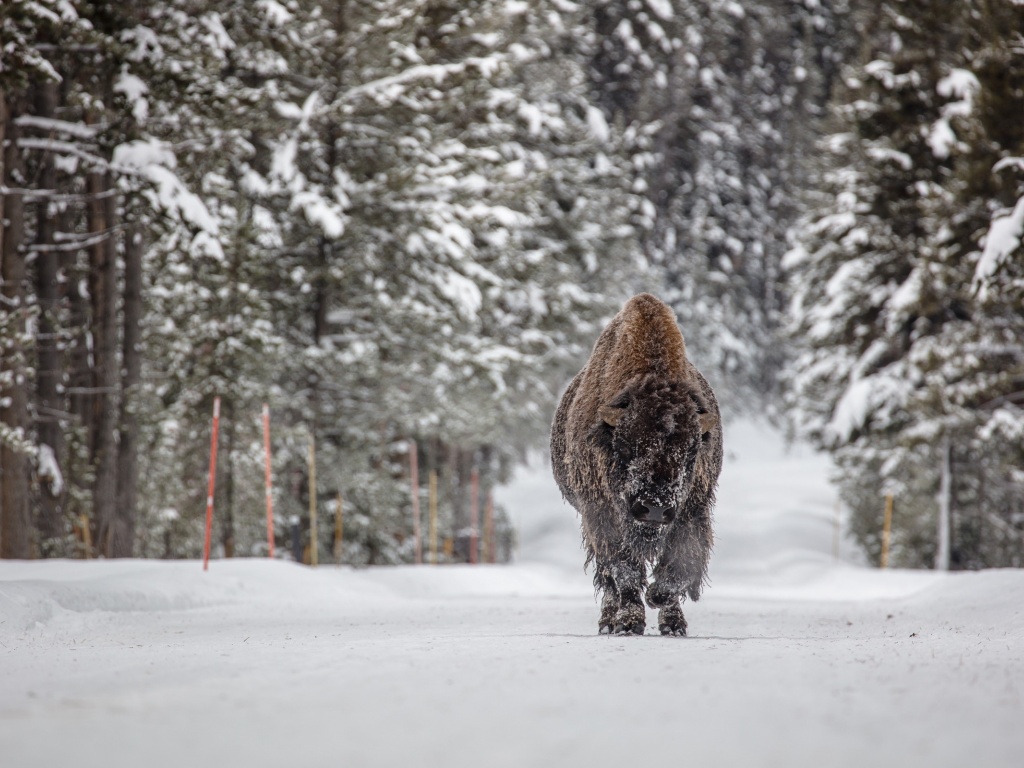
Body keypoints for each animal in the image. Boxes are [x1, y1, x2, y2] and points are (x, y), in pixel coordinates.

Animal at [548, 294, 724, 638]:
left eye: (692, 451)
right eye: (626, 446)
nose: (654, 508)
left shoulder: (692, 509)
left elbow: (680, 565)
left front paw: (661, 603)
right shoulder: (602, 514)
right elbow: (624, 571)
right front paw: (629, 622)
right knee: (607, 579)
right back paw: (609, 621)